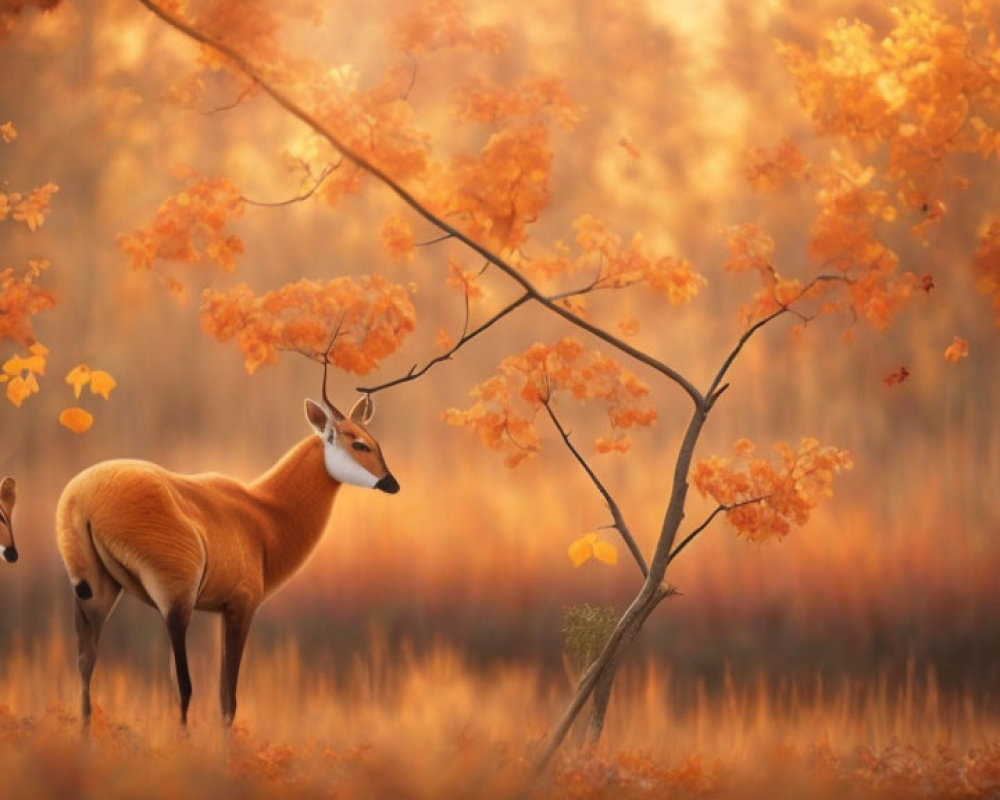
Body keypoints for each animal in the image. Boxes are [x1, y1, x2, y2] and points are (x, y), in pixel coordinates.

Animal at [54, 370, 396, 732]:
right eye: (358, 443)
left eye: (374, 441)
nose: (392, 483)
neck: (263, 514)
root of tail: (85, 497)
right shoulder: (241, 607)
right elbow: (227, 698)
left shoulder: (221, 611)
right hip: (175, 602)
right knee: (182, 684)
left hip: (96, 593)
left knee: (86, 664)